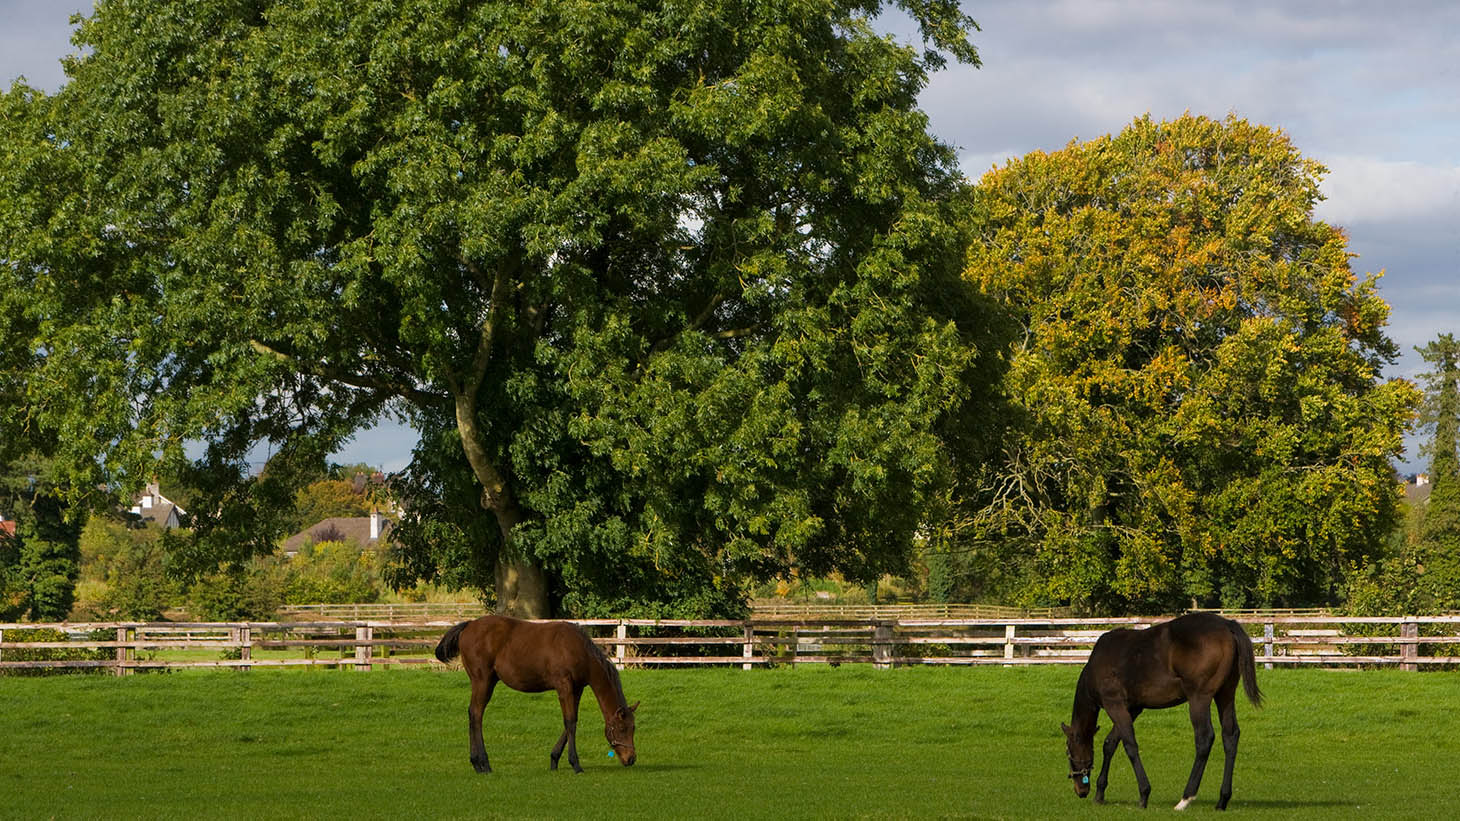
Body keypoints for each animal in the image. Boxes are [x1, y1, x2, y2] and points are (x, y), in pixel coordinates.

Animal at [435, 615, 639, 774]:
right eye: (622, 729)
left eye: (633, 728)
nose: (631, 759)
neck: (578, 650)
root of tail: (469, 625)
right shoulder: (563, 685)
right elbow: (570, 722)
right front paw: (575, 764)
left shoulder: (577, 688)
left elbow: (572, 721)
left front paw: (554, 759)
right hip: (482, 681)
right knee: (476, 714)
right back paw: (483, 763)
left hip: (488, 681)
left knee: (474, 714)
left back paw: (477, 764)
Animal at [1061, 612, 1262, 811]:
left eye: (1068, 751)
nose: (1081, 790)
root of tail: (1227, 624)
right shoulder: (1132, 708)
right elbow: (1110, 743)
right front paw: (1100, 792)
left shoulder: (1114, 705)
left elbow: (1130, 745)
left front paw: (1144, 794)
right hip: (1225, 694)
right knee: (1230, 735)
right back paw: (1222, 800)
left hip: (1199, 698)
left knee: (1205, 738)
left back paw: (1186, 798)